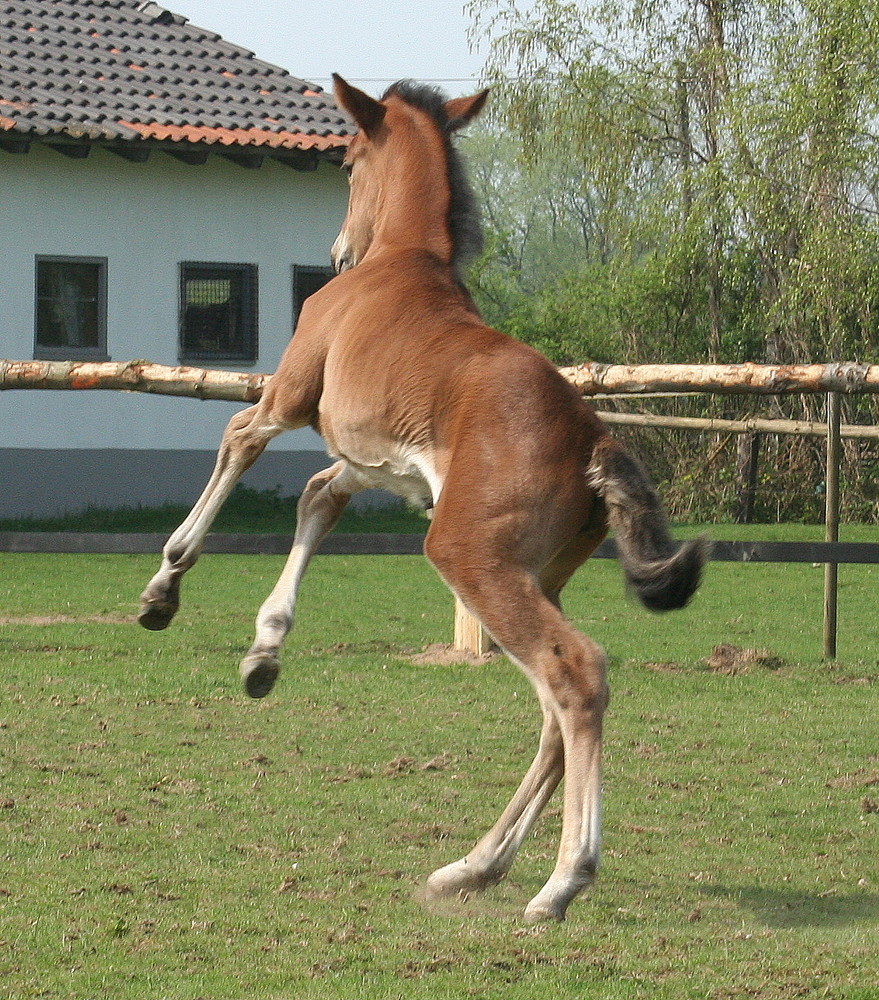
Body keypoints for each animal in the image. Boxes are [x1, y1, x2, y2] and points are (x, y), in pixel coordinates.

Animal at [139, 76, 708, 920]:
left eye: (347, 161)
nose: (338, 253)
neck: (404, 258)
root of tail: (592, 438)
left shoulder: (293, 392)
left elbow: (239, 438)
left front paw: (164, 589)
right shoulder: (376, 462)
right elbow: (317, 499)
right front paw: (263, 651)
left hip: (468, 555)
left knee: (575, 675)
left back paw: (560, 880)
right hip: (536, 574)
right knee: (550, 708)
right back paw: (472, 867)